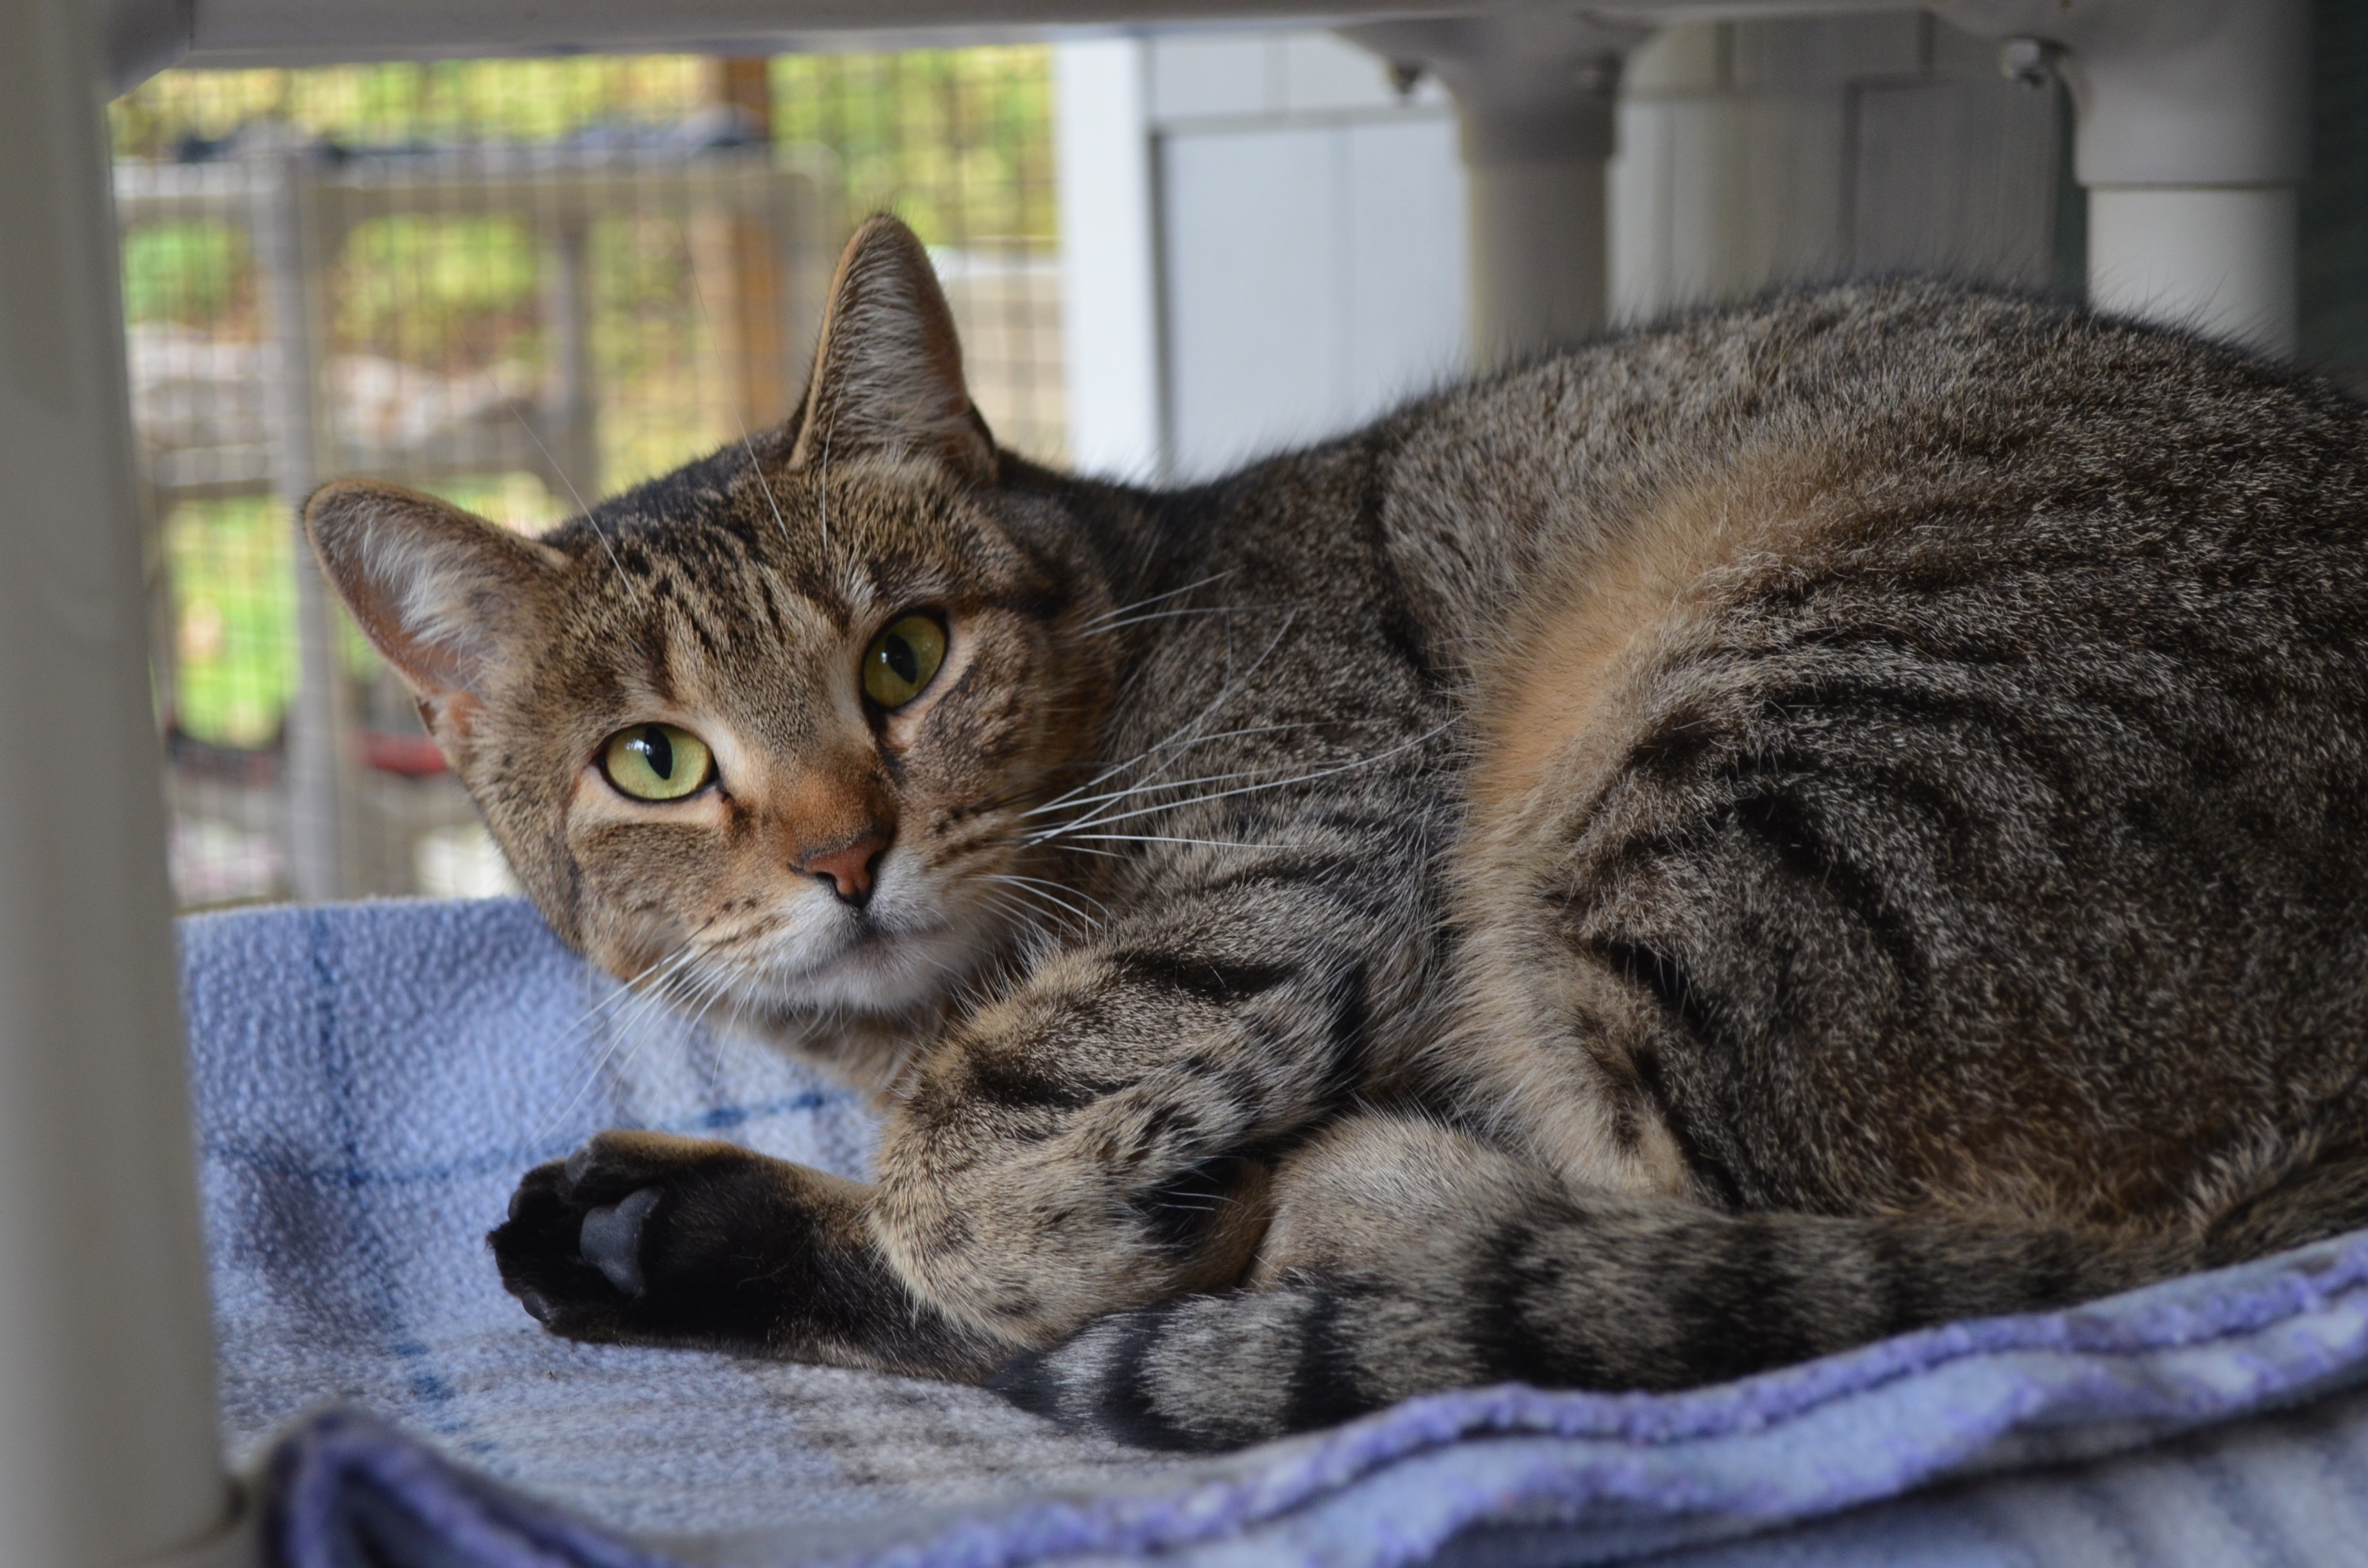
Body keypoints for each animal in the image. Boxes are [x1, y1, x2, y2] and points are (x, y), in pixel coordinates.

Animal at [305, 215, 2368, 1458]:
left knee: (1700, 1270)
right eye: (655, 762)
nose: (842, 852)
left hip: (1729, 780)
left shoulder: (1306, 820)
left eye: (905, 655)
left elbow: (974, 1170)